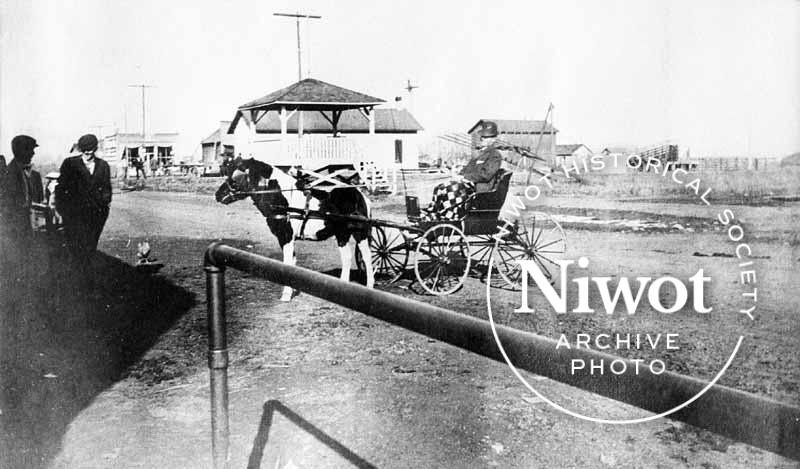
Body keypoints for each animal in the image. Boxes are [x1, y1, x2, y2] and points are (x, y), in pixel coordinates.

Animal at [214, 157, 374, 302]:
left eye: (234, 178)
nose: (218, 195)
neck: (284, 201)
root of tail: (360, 194)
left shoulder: (286, 236)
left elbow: (287, 263)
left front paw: (286, 295)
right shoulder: (285, 238)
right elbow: (292, 263)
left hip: (359, 233)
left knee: (366, 257)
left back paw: (370, 286)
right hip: (342, 234)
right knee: (347, 257)